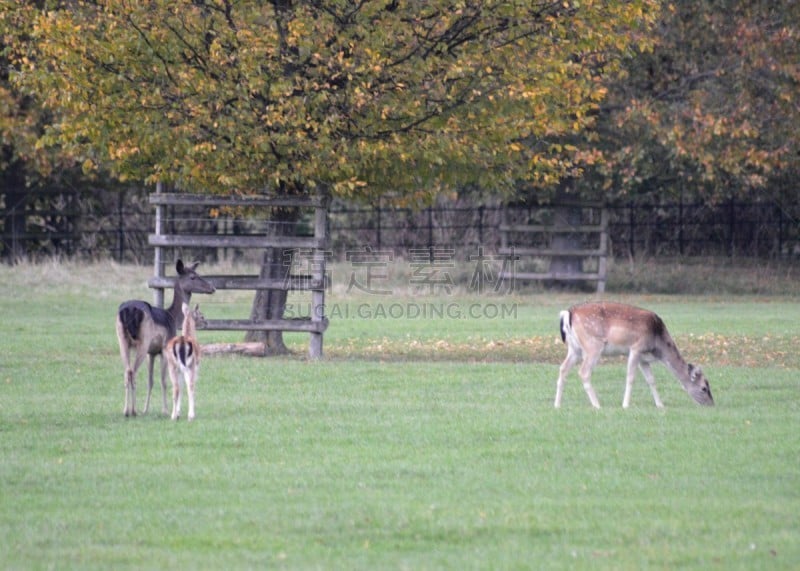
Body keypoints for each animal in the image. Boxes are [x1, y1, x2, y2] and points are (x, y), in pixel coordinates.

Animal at [115, 262, 216, 418]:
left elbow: (150, 380)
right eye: (193, 276)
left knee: (127, 371)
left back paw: (126, 410)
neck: (173, 317)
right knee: (133, 372)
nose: (212, 287)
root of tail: (129, 310)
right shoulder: (164, 348)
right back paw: (133, 410)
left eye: (197, 273)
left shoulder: (152, 352)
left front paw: (146, 409)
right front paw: (166, 410)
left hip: (122, 340)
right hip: (143, 341)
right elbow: (164, 380)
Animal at [552, 302, 716, 408]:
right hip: (593, 345)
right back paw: (597, 405)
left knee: (563, 368)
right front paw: (625, 405)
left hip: (574, 349)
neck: (657, 345)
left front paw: (660, 405)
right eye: (704, 388)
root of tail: (568, 313)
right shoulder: (636, 348)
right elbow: (631, 377)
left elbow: (651, 380)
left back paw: (557, 404)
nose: (711, 404)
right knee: (583, 372)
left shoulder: (644, 359)